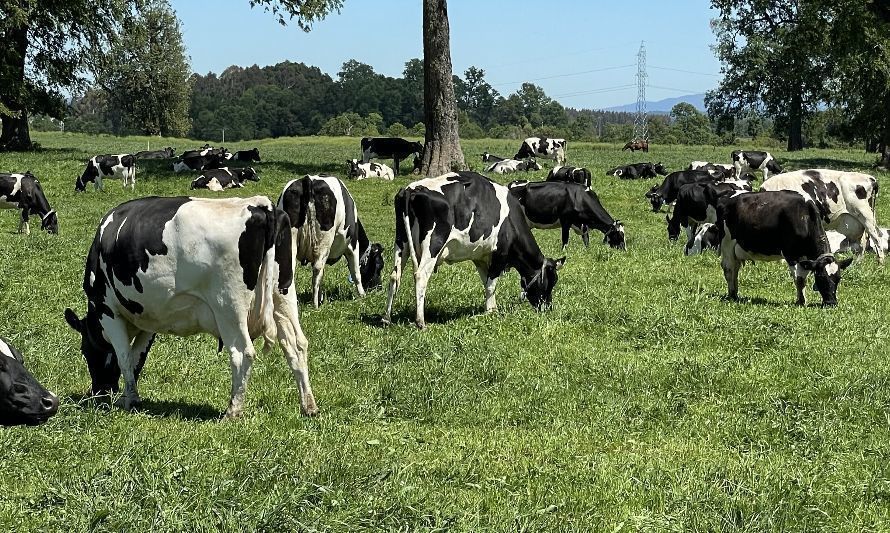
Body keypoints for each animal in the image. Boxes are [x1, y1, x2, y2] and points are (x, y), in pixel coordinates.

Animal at [61, 193, 316, 418]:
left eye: (85, 350)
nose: (100, 392)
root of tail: (261, 205)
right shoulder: (149, 317)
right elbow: (136, 357)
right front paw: (132, 397)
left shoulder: (108, 311)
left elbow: (124, 356)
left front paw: (128, 399)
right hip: (283, 294)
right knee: (297, 345)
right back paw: (309, 406)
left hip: (229, 306)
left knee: (243, 352)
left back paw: (232, 411)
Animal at [278, 175, 382, 308]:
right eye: (379, 265)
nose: (379, 288)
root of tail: (308, 180)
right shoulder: (352, 243)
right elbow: (356, 272)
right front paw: (362, 296)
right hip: (324, 240)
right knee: (317, 269)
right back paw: (315, 305)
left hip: (290, 239)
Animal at [380, 170, 560, 328]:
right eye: (551, 281)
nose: (547, 307)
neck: (512, 222)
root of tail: (412, 189)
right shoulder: (500, 254)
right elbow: (491, 285)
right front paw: (491, 312)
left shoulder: (480, 257)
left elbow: (486, 282)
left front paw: (492, 309)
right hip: (433, 244)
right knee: (421, 275)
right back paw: (421, 322)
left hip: (401, 242)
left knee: (394, 276)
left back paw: (387, 319)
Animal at [716, 191, 852, 308]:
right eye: (821, 277)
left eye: (838, 278)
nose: (831, 303)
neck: (805, 217)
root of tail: (726, 198)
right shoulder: (791, 254)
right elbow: (799, 279)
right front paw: (801, 302)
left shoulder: (806, 258)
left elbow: (804, 278)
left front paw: (803, 300)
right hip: (727, 243)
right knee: (728, 268)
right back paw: (732, 295)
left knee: (735, 268)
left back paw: (736, 293)